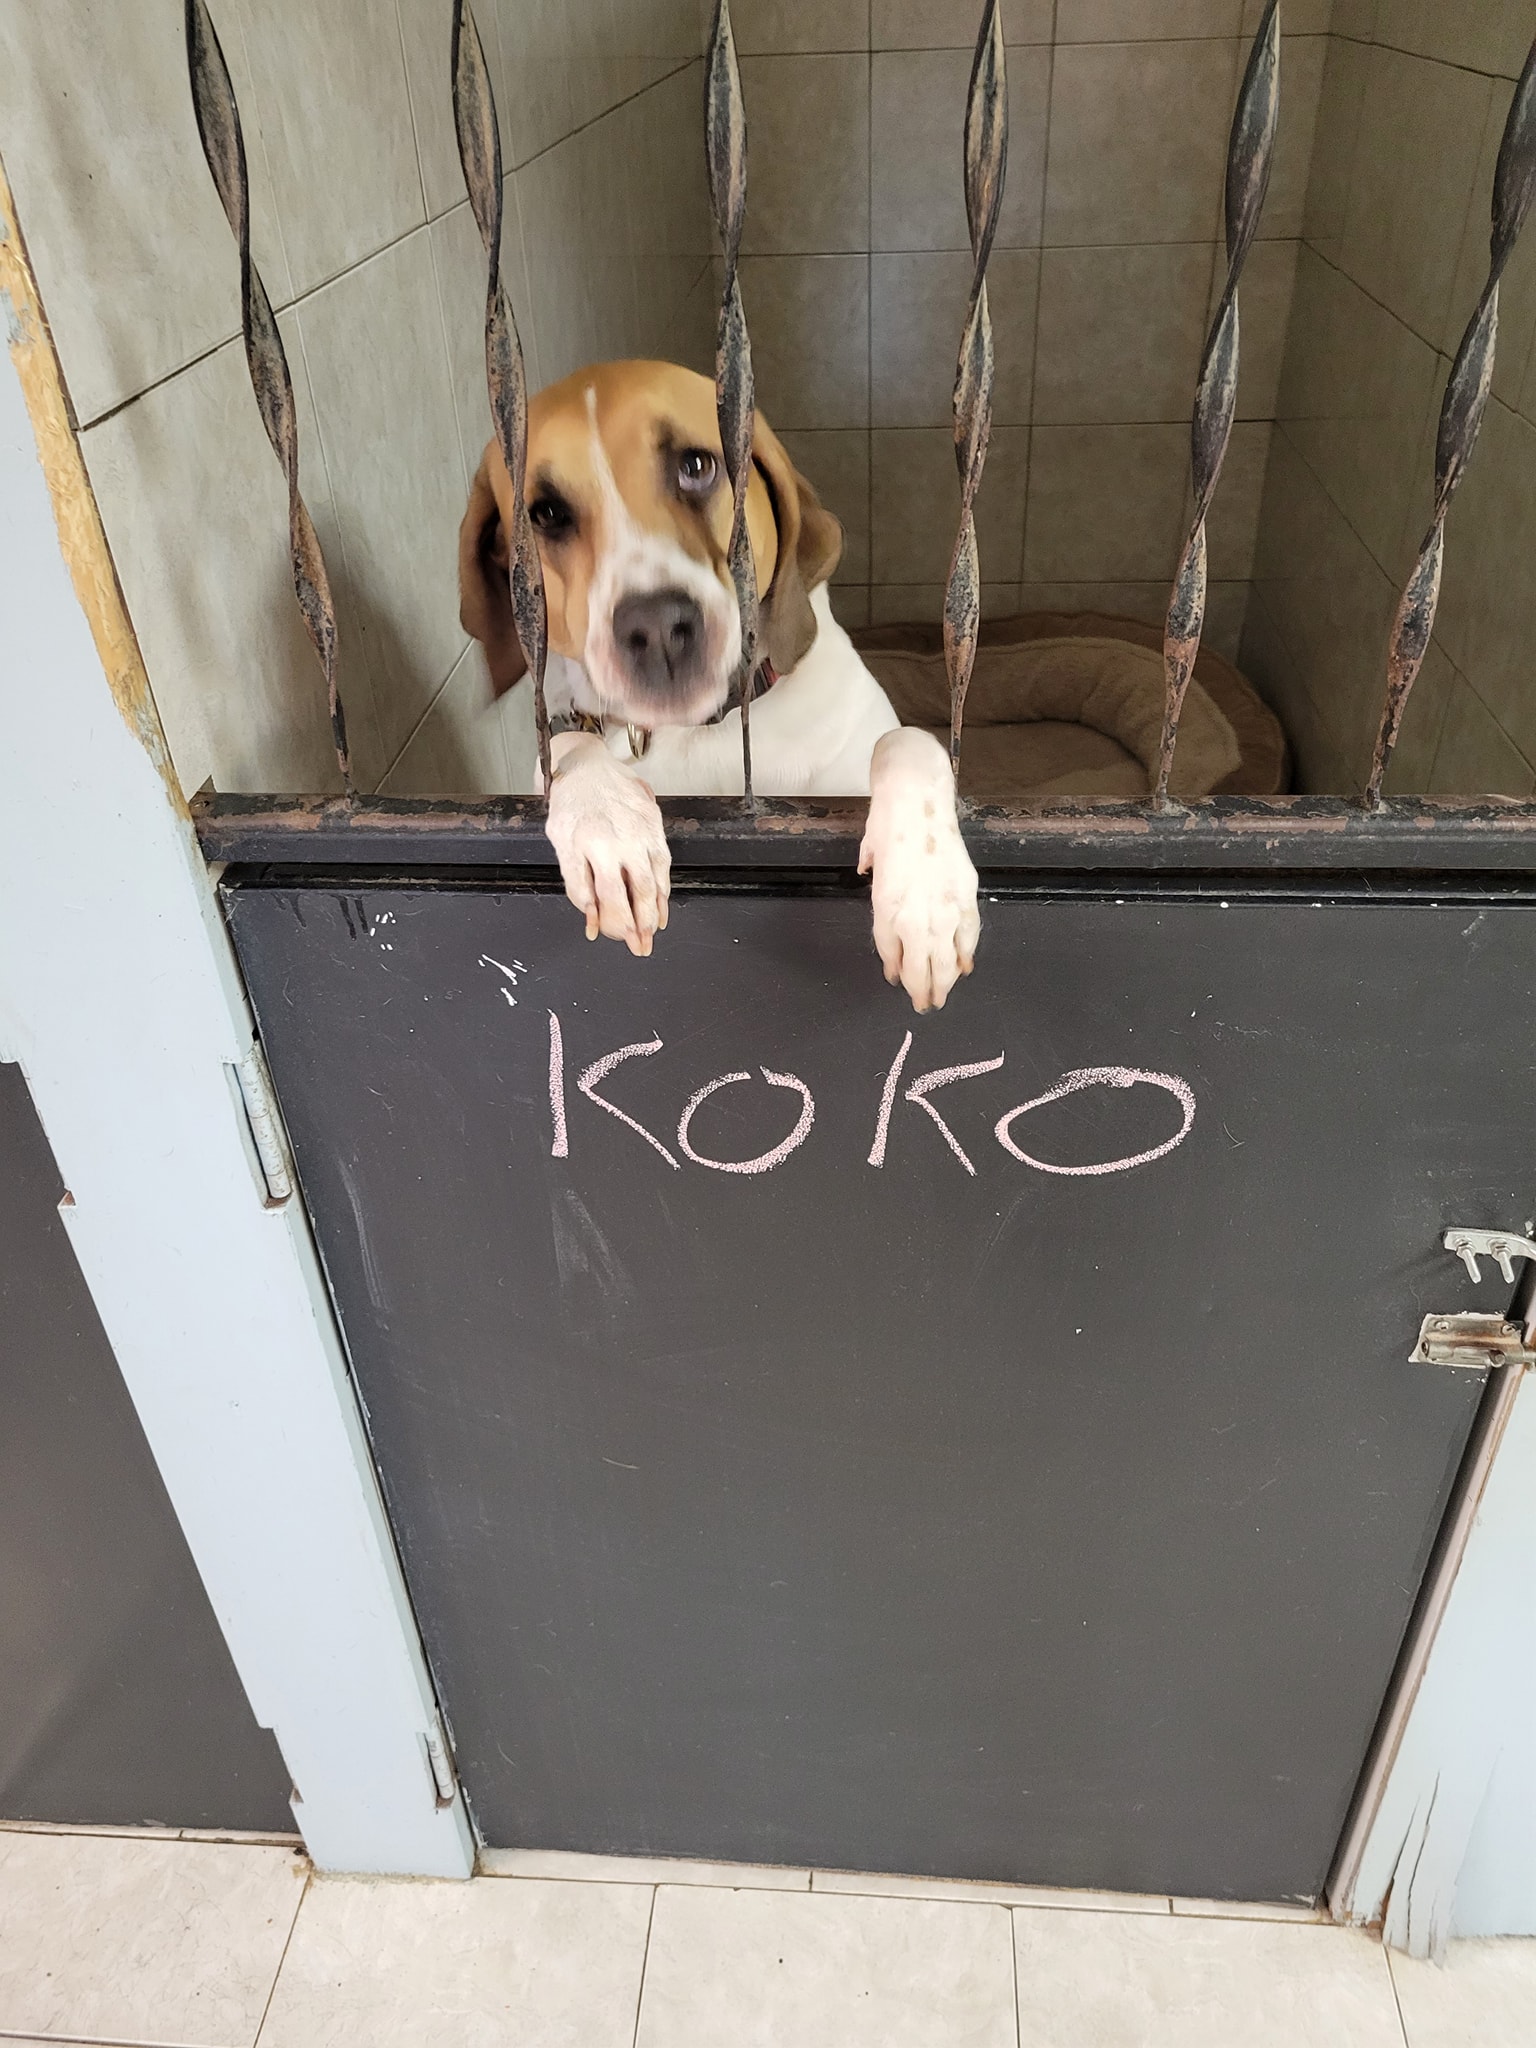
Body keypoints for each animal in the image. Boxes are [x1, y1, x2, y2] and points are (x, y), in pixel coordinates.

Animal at [458, 361, 979, 1012]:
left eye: (697, 465)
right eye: (546, 513)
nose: (656, 627)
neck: (707, 732)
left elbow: (907, 741)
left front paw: (927, 894)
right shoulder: (578, 727)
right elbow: (568, 746)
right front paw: (608, 824)